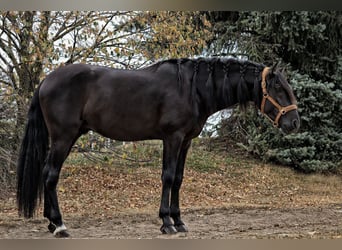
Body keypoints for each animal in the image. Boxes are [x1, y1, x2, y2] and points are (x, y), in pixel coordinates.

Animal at [16, 57, 300, 237]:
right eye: (278, 87)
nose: (294, 122)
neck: (192, 88)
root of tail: (46, 81)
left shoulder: (186, 141)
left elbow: (179, 179)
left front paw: (179, 220)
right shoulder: (172, 138)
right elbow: (168, 177)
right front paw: (166, 222)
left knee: (47, 174)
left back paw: (51, 223)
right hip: (64, 137)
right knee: (50, 175)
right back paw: (60, 225)